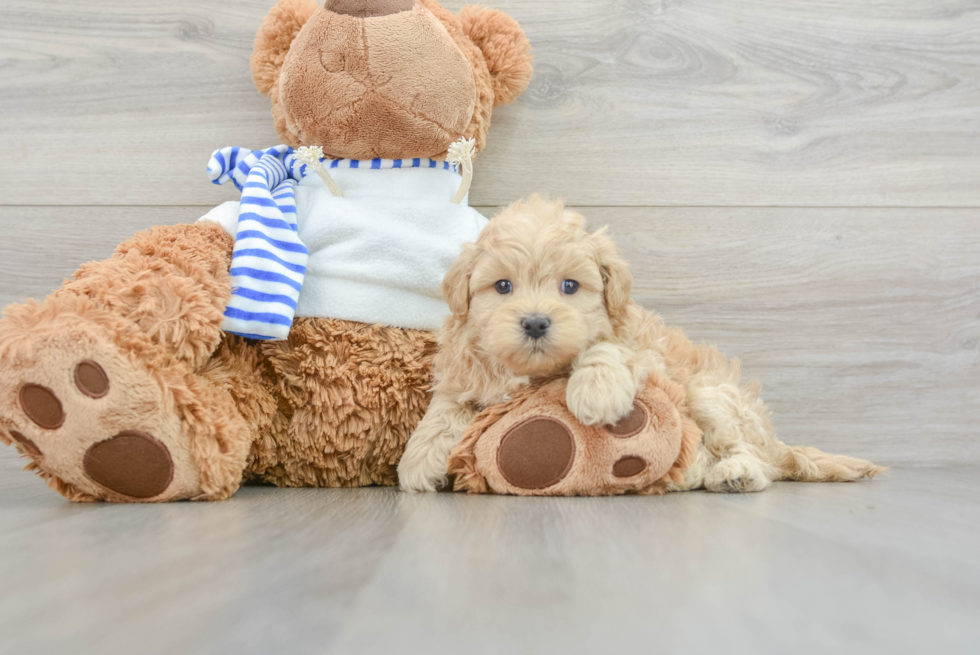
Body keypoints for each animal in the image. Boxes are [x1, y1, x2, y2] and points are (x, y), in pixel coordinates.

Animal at [394, 197, 884, 494]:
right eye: (502, 286)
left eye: (569, 286)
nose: (534, 322)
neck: (536, 372)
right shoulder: (466, 369)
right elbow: (446, 407)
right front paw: (418, 461)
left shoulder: (646, 351)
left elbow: (608, 350)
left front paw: (595, 391)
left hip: (712, 395)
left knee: (753, 455)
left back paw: (735, 473)